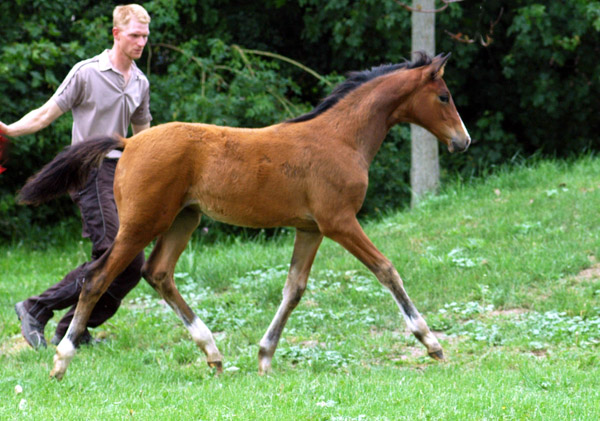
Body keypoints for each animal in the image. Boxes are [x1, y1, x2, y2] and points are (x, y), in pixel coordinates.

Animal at [17, 51, 468, 378]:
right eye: (444, 96)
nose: (462, 141)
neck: (340, 137)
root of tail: (128, 143)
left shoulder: (311, 228)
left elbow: (294, 289)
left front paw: (265, 356)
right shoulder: (339, 222)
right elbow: (386, 269)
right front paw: (431, 343)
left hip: (185, 219)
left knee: (158, 273)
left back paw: (213, 353)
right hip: (142, 224)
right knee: (97, 278)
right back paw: (61, 360)